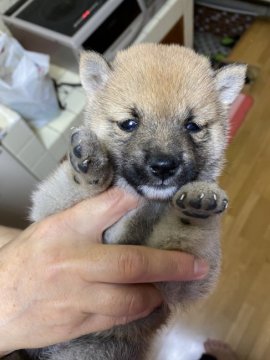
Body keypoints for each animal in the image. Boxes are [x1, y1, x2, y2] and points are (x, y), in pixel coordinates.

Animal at [29, 43, 247, 358]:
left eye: (192, 126)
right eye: (129, 124)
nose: (163, 166)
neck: (147, 203)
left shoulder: (179, 280)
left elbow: (188, 232)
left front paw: (198, 204)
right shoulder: (46, 209)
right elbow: (68, 187)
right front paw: (89, 161)